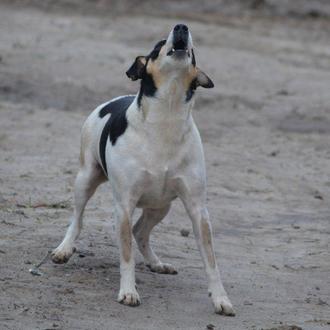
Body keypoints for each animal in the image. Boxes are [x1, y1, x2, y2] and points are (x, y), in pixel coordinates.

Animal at [51, 22, 235, 314]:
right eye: (158, 45)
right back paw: (64, 249)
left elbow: (211, 261)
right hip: (85, 179)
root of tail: (113, 100)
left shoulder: (198, 209)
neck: (166, 118)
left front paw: (220, 298)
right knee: (77, 219)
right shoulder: (124, 205)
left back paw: (156, 262)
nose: (181, 27)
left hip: (161, 205)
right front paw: (128, 292)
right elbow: (126, 255)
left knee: (140, 232)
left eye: (193, 51)